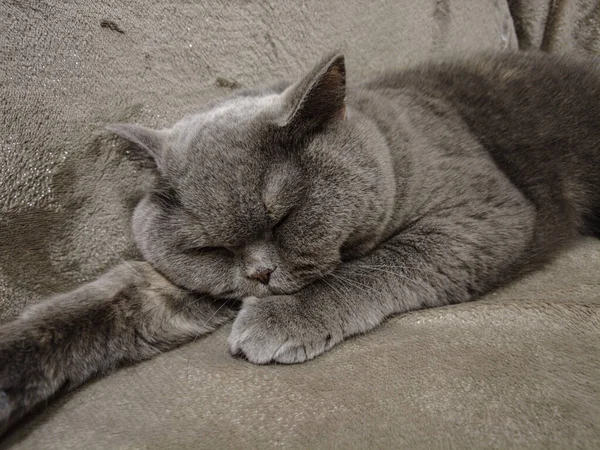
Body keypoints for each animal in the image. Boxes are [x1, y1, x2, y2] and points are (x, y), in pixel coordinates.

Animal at [1, 51, 600, 434]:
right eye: (209, 249)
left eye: (285, 219)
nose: (259, 275)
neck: (391, 144)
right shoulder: (166, 285)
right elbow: (95, 304)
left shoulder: (483, 212)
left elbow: (381, 261)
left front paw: (282, 316)